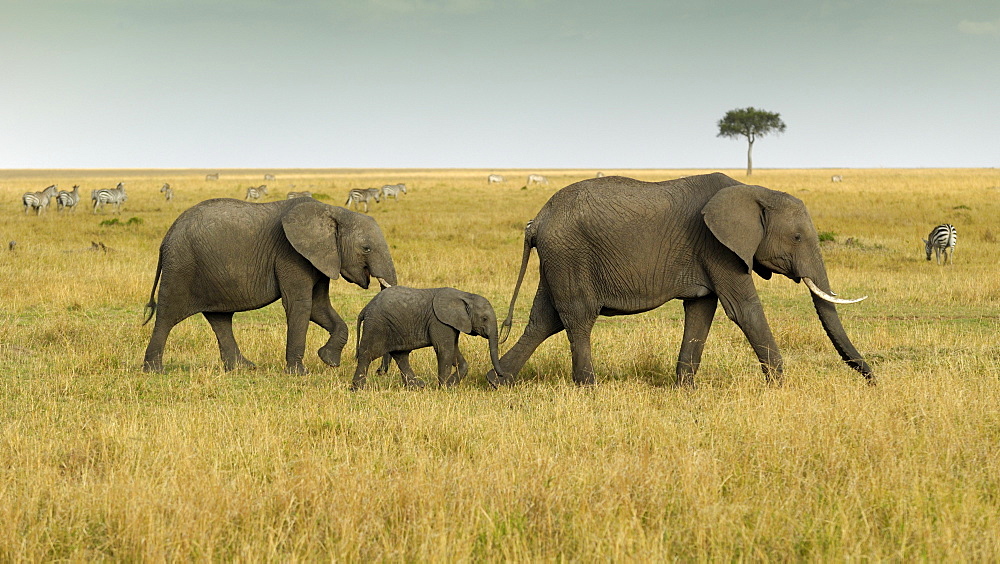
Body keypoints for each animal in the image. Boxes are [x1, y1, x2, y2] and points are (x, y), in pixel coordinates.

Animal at [142, 198, 398, 374]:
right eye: (366, 248)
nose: (380, 371)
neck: (333, 212)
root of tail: (166, 238)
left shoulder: (320, 259)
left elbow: (319, 307)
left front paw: (328, 360)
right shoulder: (291, 255)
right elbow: (300, 305)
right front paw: (299, 373)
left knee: (220, 319)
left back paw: (243, 367)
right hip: (181, 266)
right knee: (167, 315)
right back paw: (154, 370)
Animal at [352, 288, 508, 390]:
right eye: (484, 318)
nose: (501, 375)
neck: (465, 295)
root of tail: (366, 307)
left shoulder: (451, 323)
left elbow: (453, 351)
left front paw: (450, 386)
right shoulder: (439, 322)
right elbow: (445, 350)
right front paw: (443, 388)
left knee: (401, 356)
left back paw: (417, 387)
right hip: (377, 325)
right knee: (367, 354)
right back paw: (358, 388)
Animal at [486, 173, 876, 388]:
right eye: (796, 238)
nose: (872, 379)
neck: (753, 190)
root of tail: (536, 221)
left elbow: (701, 310)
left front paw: (686, 390)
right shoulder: (718, 246)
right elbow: (743, 310)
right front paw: (781, 387)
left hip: (558, 259)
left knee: (544, 320)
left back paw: (497, 381)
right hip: (570, 254)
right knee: (578, 318)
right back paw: (588, 388)